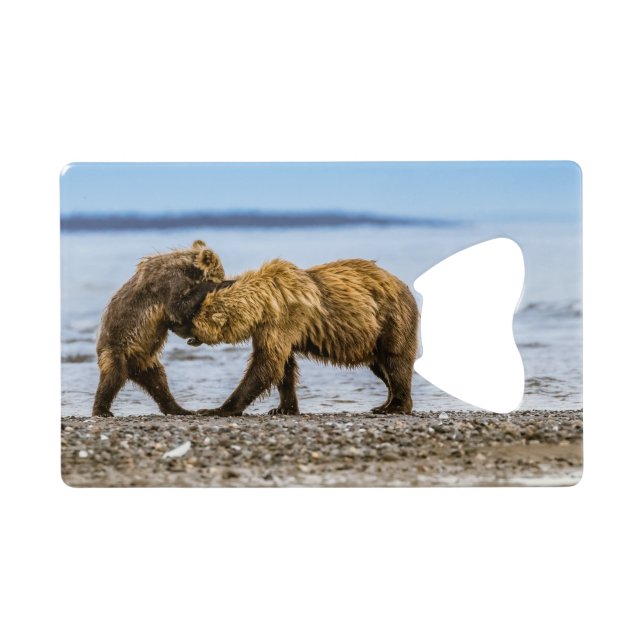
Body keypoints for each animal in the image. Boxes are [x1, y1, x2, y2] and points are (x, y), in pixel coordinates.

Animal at [92, 240, 226, 417]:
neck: (188, 270)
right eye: (222, 274)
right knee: (113, 377)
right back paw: (101, 410)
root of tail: (132, 369)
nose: (225, 278)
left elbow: (178, 318)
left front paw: (194, 338)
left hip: (145, 361)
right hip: (116, 349)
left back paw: (179, 409)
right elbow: (178, 307)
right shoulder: (169, 282)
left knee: (159, 382)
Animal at [182, 257, 419, 416]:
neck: (263, 305)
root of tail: (403, 285)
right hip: (372, 339)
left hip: (390, 320)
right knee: (380, 366)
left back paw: (395, 406)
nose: (184, 329)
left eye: (194, 318)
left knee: (395, 361)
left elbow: (265, 365)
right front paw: (283, 408)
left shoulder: (284, 319)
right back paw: (385, 403)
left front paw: (217, 409)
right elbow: (283, 367)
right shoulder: (270, 329)